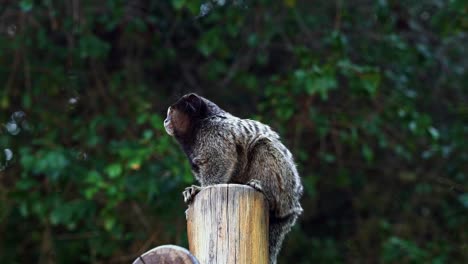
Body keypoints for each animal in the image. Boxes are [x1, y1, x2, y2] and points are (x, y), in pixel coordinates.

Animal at [164, 93, 304, 264]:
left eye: (171, 113)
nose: (165, 121)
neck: (200, 123)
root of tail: (294, 204)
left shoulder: (213, 132)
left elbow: (221, 159)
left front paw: (200, 189)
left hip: (285, 186)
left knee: (262, 145)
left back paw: (262, 188)